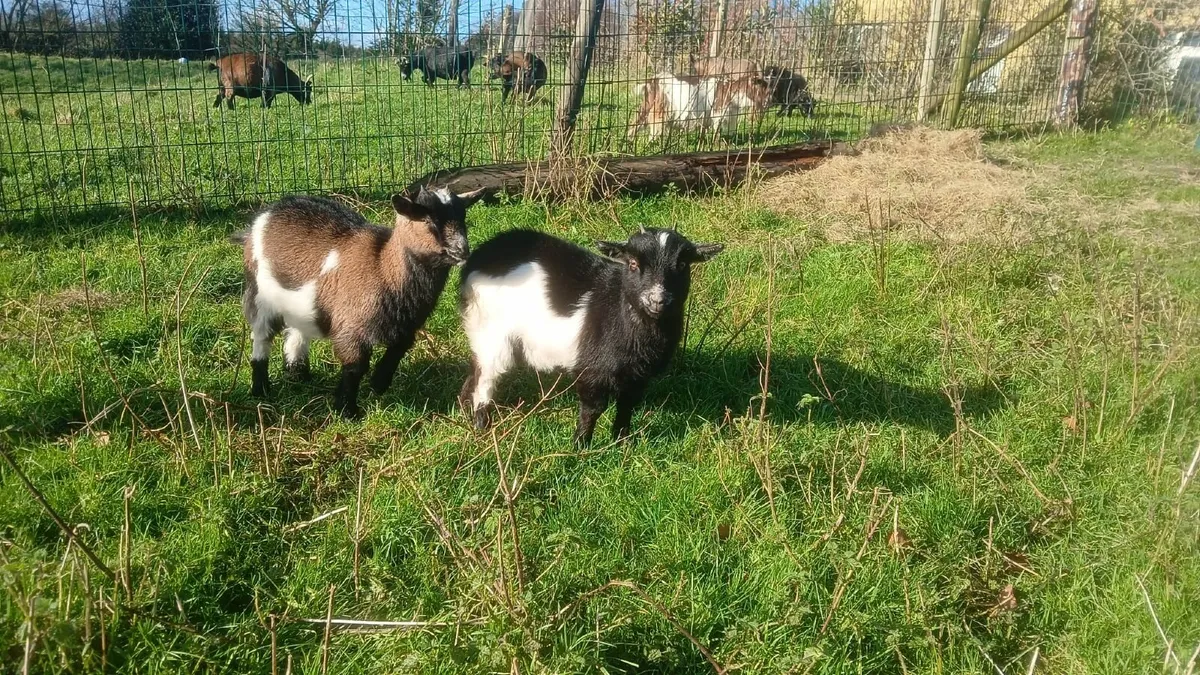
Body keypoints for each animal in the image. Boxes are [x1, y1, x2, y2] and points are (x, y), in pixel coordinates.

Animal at [231, 186, 485, 418]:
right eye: (427, 220)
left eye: (463, 216)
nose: (461, 250)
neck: (383, 268)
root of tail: (267, 214)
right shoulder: (351, 327)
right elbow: (355, 367)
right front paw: (347, 410)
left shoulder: (406, 327)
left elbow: (398, 350)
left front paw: (379, 383)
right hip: (260, 295)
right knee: (262, 336)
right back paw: (261, 389)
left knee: (297, 330)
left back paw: (298, 374)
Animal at [458, 226, 723, 447]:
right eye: (633, 264)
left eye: (683, 265)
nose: (657, 300)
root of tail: (481, 257)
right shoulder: (592, 370)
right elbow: (593, 409)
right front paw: (580, 447)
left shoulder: (637, 375)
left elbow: (627, 406)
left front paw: (622, 443)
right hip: (492, 331)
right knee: (487, 378)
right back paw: (481, 424)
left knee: (476, 369)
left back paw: (464, 409)